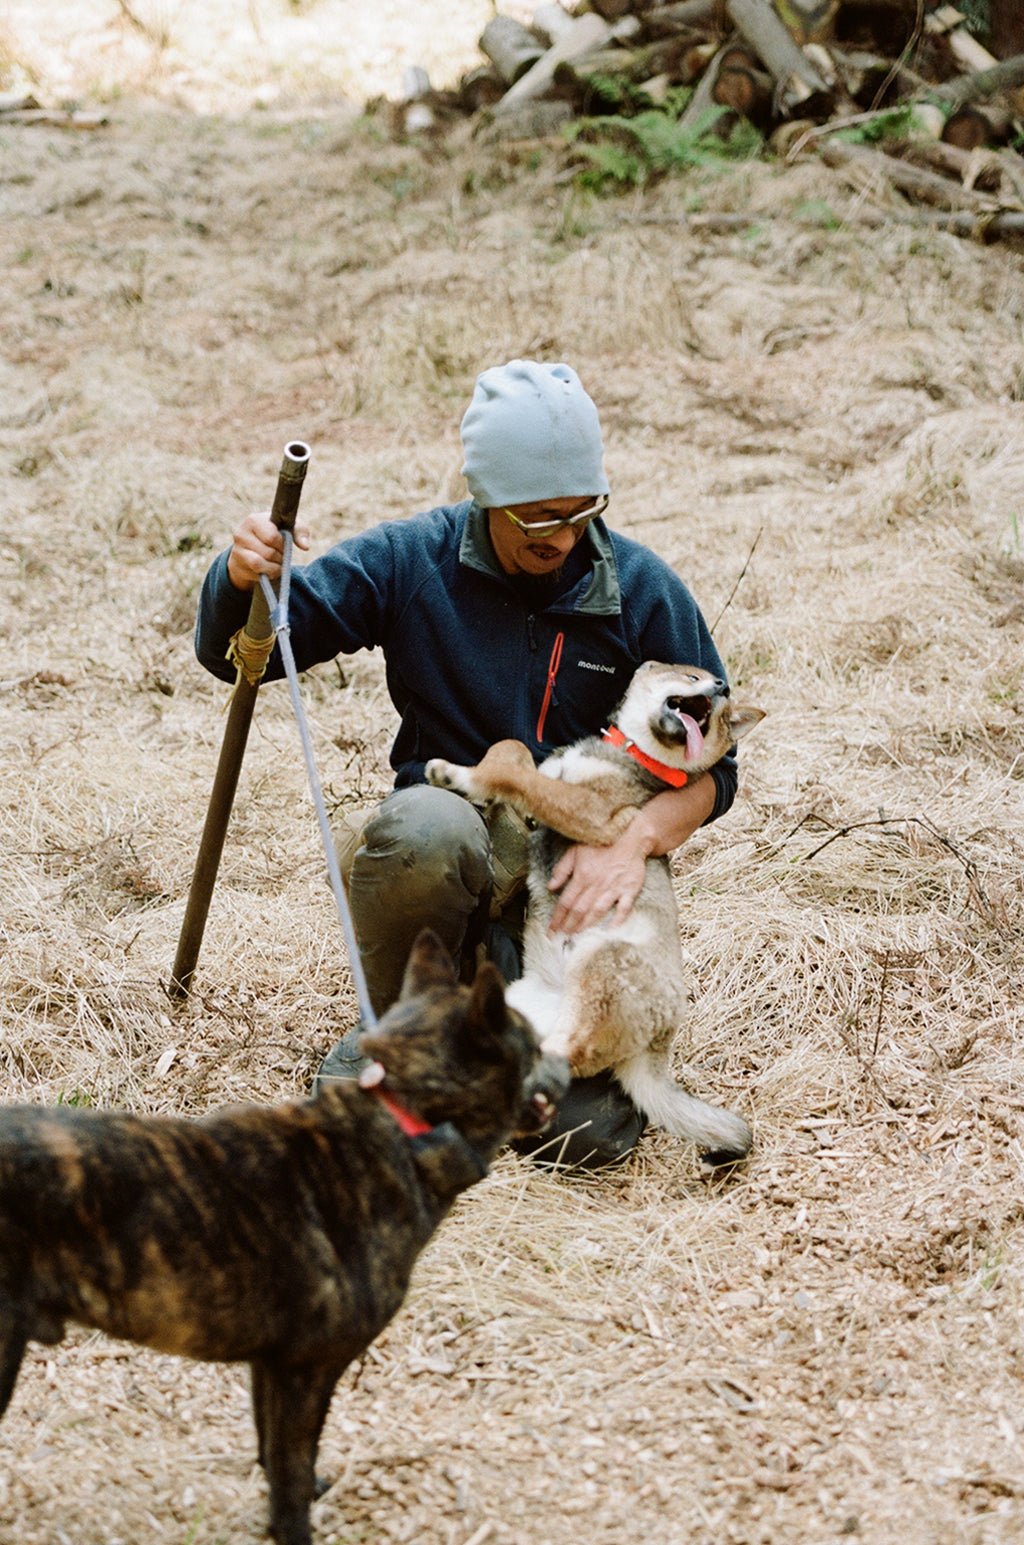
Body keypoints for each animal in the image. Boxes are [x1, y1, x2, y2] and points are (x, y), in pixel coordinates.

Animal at [0, 927, 568, 1545]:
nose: (570, 1060)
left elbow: (271, 1453)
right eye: (536, 1043)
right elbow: (292, 1473)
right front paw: (295, 1526)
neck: (406, 1126)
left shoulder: (270, 1367)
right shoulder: (307, 1372)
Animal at [429, 658, 766, 1161]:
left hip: (602, 967)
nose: (721, 686)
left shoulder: (592, 812)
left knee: (569, 1055)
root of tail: (658, 1047)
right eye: (693, 677)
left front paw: (462, 776)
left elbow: (519, 776)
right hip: (519, 1007)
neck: (633, 754)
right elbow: (514, 753)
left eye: (724, 713)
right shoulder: (553, 781)